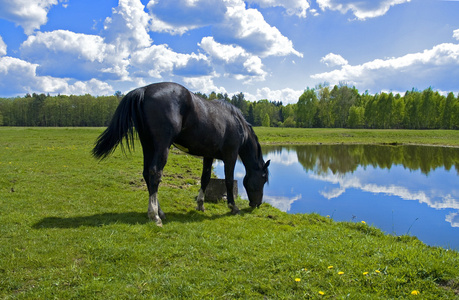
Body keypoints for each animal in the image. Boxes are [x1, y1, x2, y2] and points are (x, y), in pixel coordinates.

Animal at [93, 81, 270, 225]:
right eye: (263, 178)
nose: (257, 204)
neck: (237, 124)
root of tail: (144, 90)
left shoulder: (209, 156)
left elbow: (205, 178)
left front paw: (200, 205)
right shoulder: (230, 156)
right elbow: (228, 180)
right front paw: (233, 207)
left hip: (148, 145)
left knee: (146, 174)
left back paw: (160, 212)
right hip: (161, 146)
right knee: (155, 173)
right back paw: (154, 215)